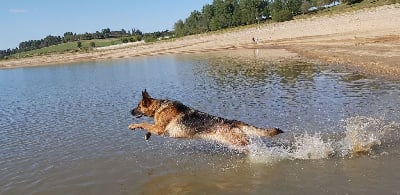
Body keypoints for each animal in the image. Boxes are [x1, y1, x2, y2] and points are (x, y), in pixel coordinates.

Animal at [127, 90, 282, 147]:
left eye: (138, 106)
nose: (129, 111)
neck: (159, 106)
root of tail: (232, 122)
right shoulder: (158, 128)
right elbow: (148, 126)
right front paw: (147, 135)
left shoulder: (159, 129)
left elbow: (143, 123)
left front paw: (133, 125)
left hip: (236, 141)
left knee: (248, 144)